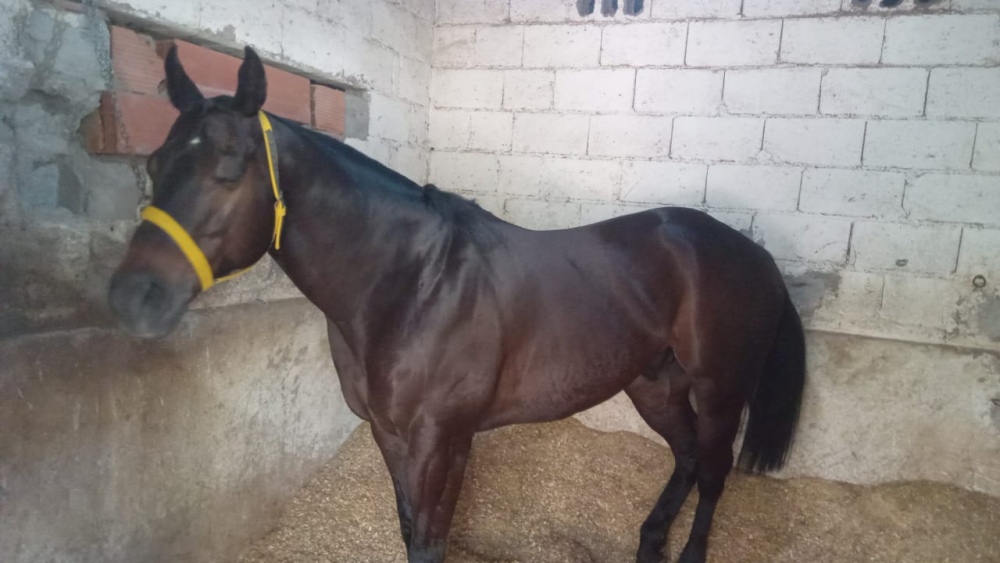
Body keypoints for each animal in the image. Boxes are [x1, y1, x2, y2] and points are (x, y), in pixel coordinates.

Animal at [107, 46, 806, 563]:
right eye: (153, 163)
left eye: (229, 168)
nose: (132, 299)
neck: (411, 287)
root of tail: (756, 255)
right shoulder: (390, 435)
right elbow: (410, 530)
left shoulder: (440, 440)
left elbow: (429, 539)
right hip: (653, 382)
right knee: (685, 459)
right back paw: (650, 542)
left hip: (720, 390)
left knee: (712, 472)